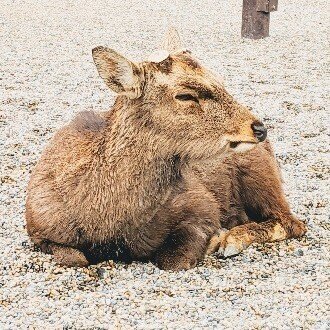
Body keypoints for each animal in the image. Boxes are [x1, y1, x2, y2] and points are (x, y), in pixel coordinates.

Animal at [25, 29, 306, 270]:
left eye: (221, 80)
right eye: (185, 95)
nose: (259, 128)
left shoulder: (201, 204)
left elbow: (174, 260)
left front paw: (215, 239)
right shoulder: (37, 227)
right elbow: (74, 259)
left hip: (261, 175)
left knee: (293, 222)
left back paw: (232, 239)